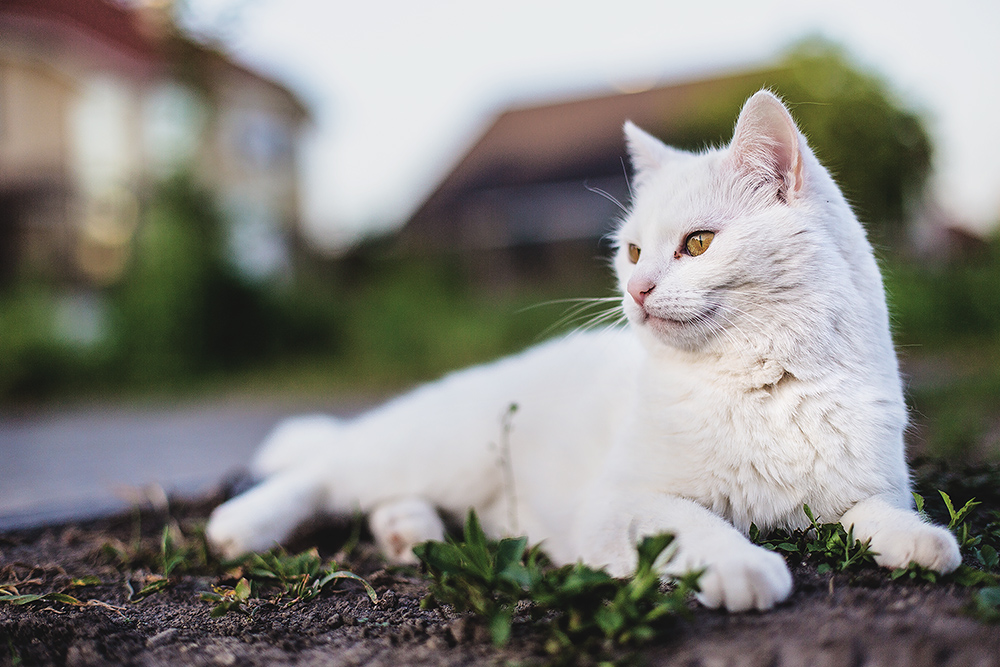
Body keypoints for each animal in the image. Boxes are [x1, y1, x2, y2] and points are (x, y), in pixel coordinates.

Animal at [205, 91, 960, 612]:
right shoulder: (621, 504)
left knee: (380, 495)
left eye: (696, 244)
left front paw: (921, 541)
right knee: (326, 469)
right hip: (433, 445)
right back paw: (239, 526)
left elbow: (873, 514)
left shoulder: (863, 489)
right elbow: (694, 524)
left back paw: (409, 536)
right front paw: (742, 566)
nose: (637, 288)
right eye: (631, 250)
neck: (758, 381)